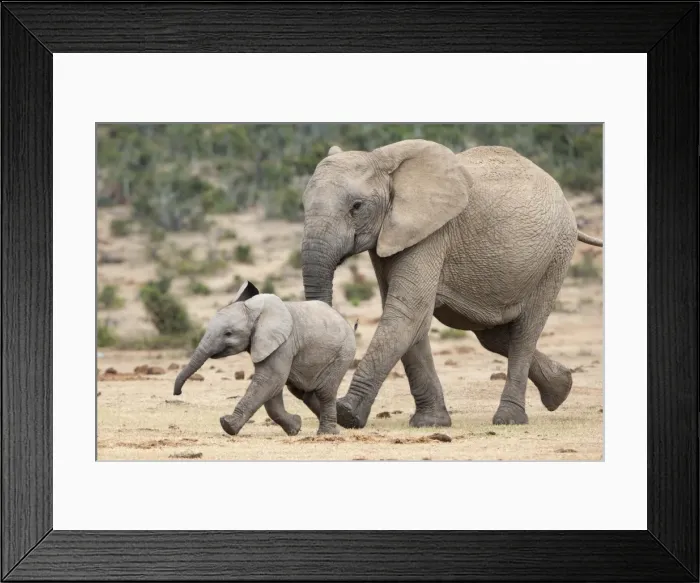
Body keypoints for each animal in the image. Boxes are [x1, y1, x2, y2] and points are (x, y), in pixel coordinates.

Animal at [173, 281, 356, 436]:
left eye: (228, 333)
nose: (178, 393)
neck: (255, 312)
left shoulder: (283, 344)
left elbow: (270, 380)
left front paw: (227, 425)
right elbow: (272, 389)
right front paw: (295, 427)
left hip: (343, 353)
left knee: (325, 392)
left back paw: (327, 433)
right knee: (305, 393)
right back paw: (338, 428)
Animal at [300, 139, 603, 429]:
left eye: (357, 207)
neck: (384, 162)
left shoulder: (432, 233)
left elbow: (407, 314)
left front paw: (347, 414)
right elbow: (410, 319)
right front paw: (430, 423)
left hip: (555, 255)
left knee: (525, 331)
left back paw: (509, 418)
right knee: (493, 335)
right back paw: (561, 388)